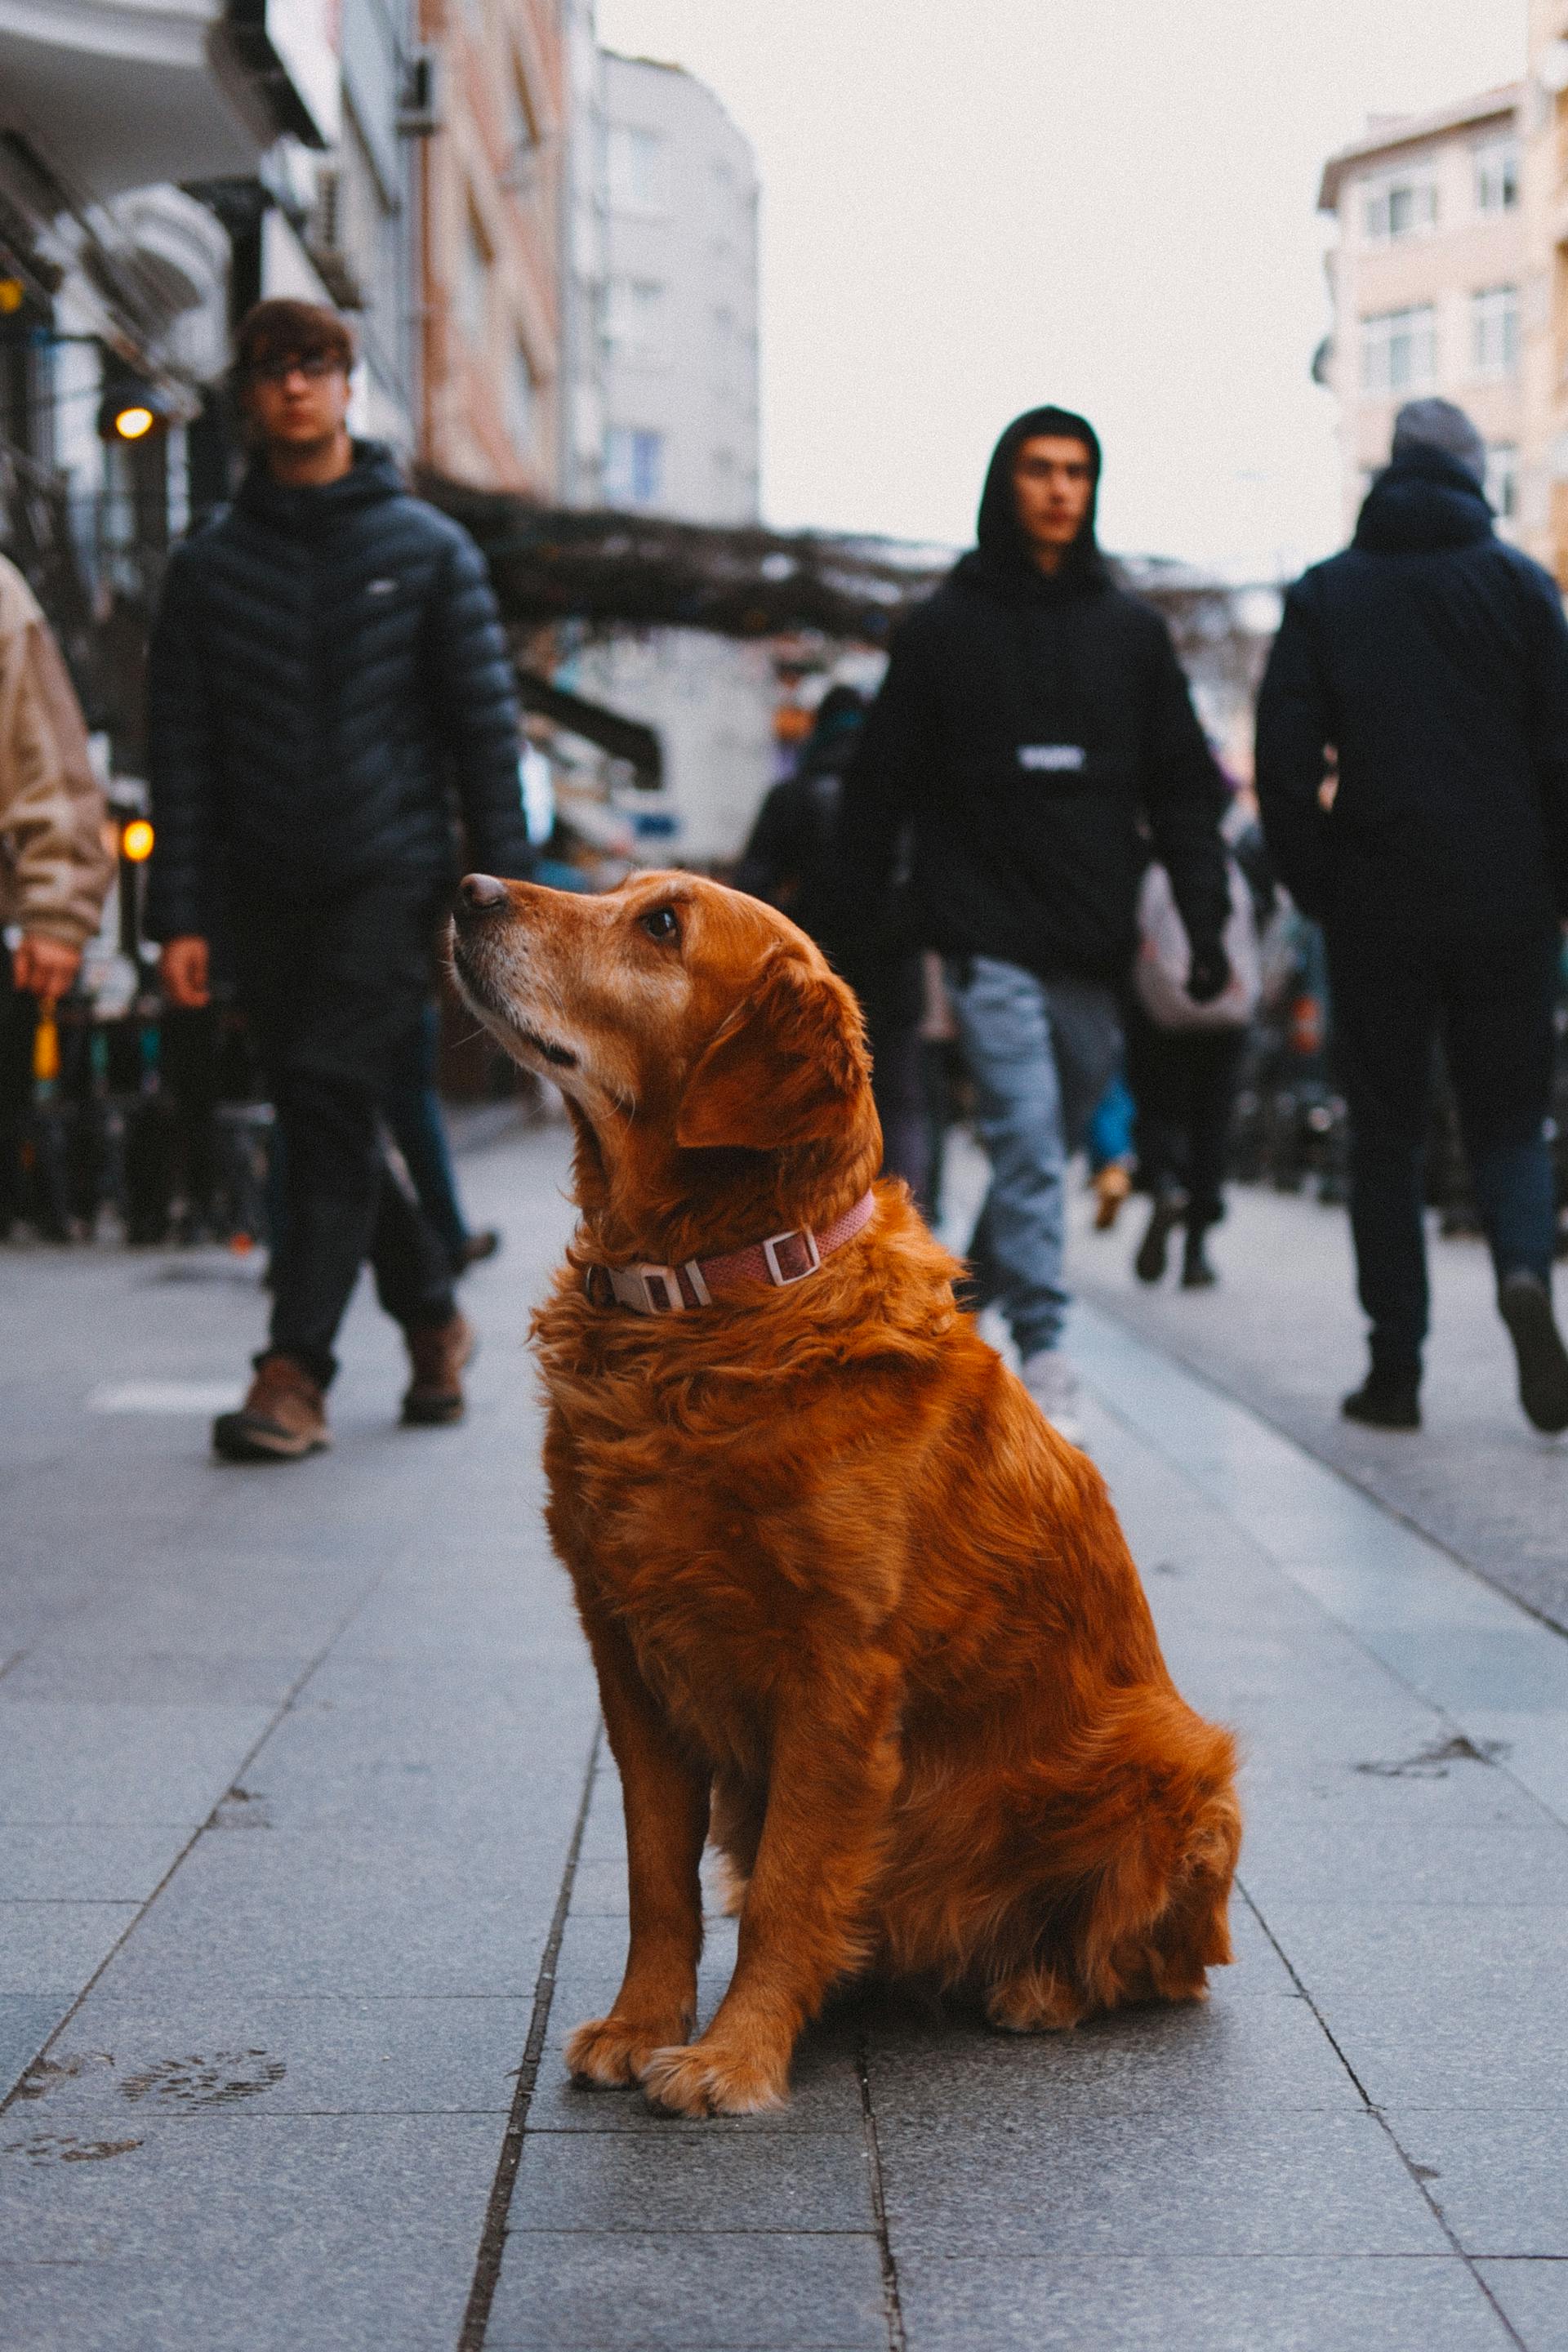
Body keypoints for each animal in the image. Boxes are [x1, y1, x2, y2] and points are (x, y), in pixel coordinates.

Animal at [451, 875, 1241, 2126]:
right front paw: (642, 2024)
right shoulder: (627, 1657)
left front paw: (734, 2057)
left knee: (1163, 1964)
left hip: (1181, 1766)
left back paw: (1038, 1987)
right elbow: (657, 1877)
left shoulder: (835, 1673)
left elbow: (789, 1885)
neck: (706, 1306)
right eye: (613, 890)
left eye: (663, 925)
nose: (470, 888)